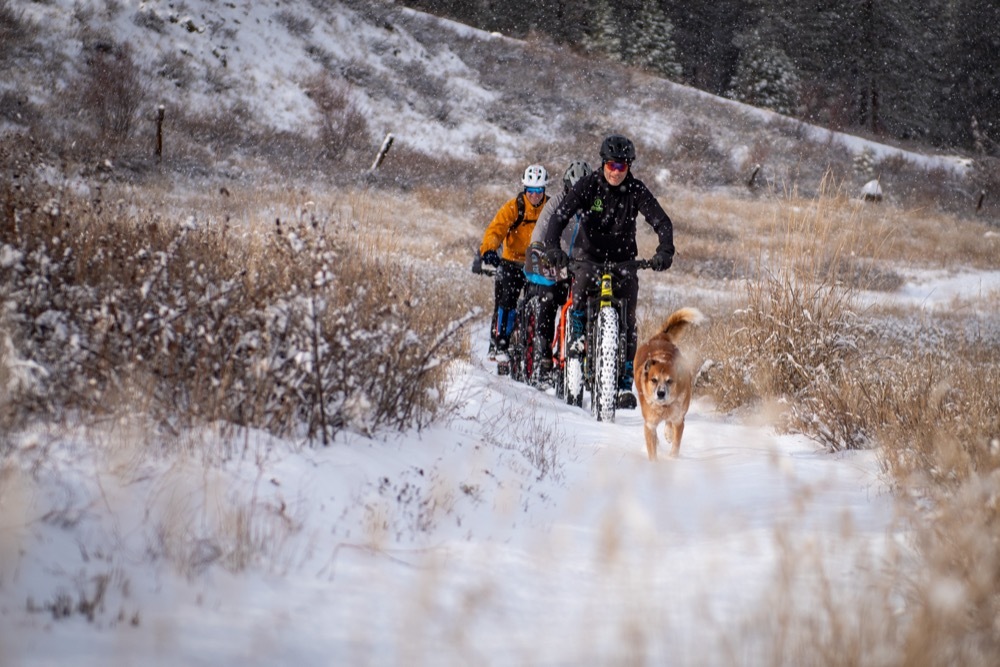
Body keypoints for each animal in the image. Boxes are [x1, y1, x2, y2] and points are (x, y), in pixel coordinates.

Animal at [632, 308, 704, 460]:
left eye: (669, 380)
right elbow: (652, 446)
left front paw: (672, 458)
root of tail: (659, 338)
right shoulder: (650, 424)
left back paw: (668, 433)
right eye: (653, 380)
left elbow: (676, 442)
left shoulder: (679, 419)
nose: (661, 393)